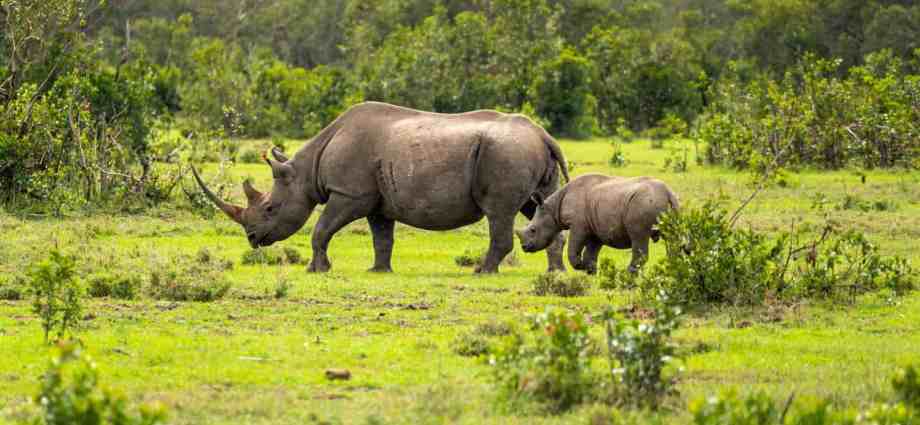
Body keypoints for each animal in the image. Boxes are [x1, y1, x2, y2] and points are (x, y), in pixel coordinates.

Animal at [192, 101, 569, 273]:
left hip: (505, 152)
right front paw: (378, 270)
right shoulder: (377, 201)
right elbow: (382, 238)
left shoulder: (349, 194)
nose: (253, 239)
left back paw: (482, 272)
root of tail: (543, 135)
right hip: (519, 152)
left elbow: (321, 228)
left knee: (499, 212)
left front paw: (316, 270)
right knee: (539, 206)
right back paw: (556, 274)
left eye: (270, 208)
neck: (305, 170)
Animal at [517, 174, 679, 274]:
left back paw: (628, 275)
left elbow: (573, 249)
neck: (553, 208)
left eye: (533, 230)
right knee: (672, 239)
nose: (524, 247)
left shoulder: (578, 225)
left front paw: (580, 266)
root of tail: (668, 192)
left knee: (639, 236)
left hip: (642, 203)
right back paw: (673, 268)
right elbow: (591, 252)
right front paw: (590, 271)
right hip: (669, 205)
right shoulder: (595, 228)